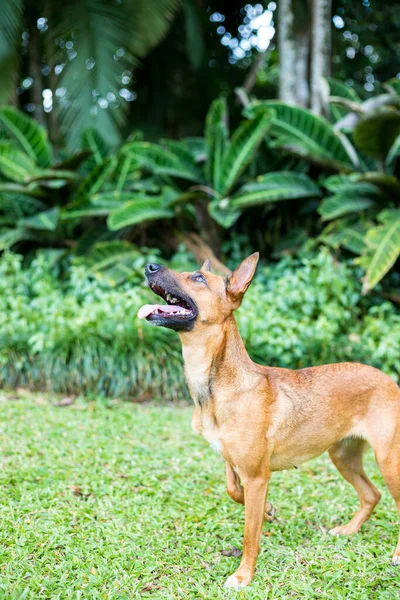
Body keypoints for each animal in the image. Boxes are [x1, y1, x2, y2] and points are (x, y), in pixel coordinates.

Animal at [138, 253, 400, 592]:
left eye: (197, 277)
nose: (149, 266)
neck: (219, 383)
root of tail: (388, 379)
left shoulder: (257, 476)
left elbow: (250, 535)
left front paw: (243, 575)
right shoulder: (234, 463)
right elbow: (232, 490)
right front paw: (268, 510)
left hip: (388, 460)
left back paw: (396, 554)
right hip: (343, 456)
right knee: (371, 495)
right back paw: (348, 530)